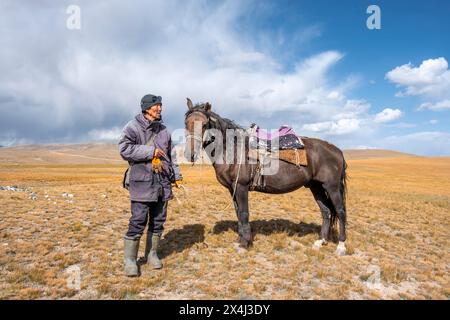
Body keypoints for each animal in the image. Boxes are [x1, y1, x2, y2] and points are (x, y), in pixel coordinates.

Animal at [183, 99, 348, 256]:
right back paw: (320, 241)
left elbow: (244, 213)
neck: (232, 150)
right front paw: (240, 240)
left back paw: (341, 246)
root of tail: (337, 150)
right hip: (316, 186)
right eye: (186, 123)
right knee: (326, 211)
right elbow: (238, 213)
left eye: (204, 124)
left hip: (331, 187)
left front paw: (245, 244)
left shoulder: (241, 187)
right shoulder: (232, 189)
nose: (190, 154)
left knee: (340, 211)